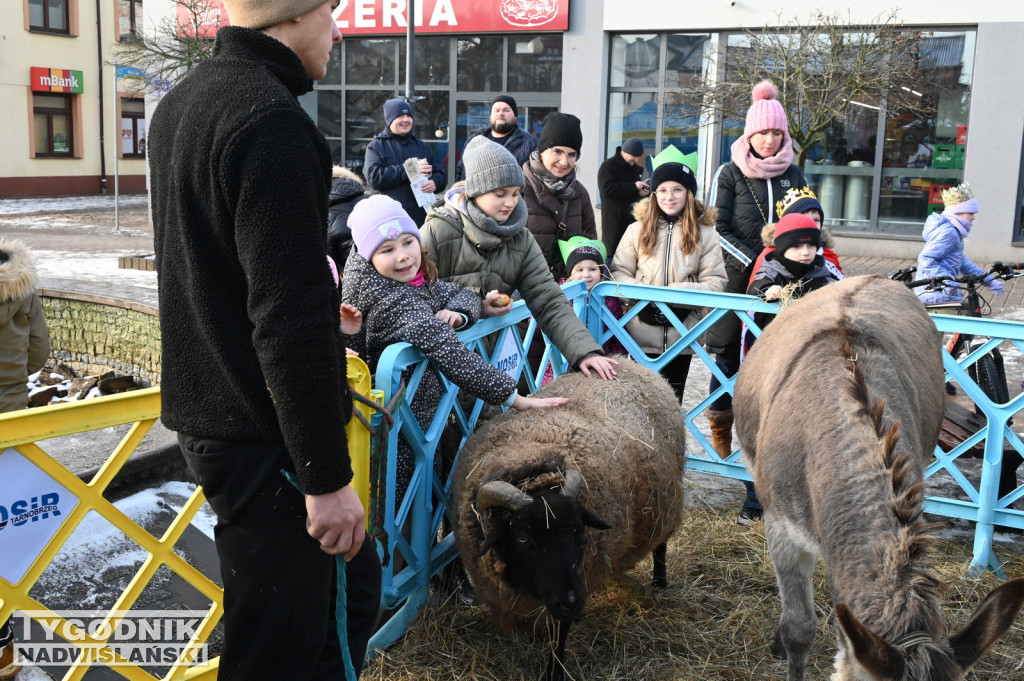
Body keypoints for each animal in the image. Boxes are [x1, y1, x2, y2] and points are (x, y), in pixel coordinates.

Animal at [450, 356, 684, 679]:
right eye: (522, 536)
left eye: (577, 531)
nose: (572, 603)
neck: (533, 462)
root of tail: (629, 362)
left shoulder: (578, 576)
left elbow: (559, 634)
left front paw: (555, 670)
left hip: (668, 501)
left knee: (661, 544)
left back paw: (659, 583)